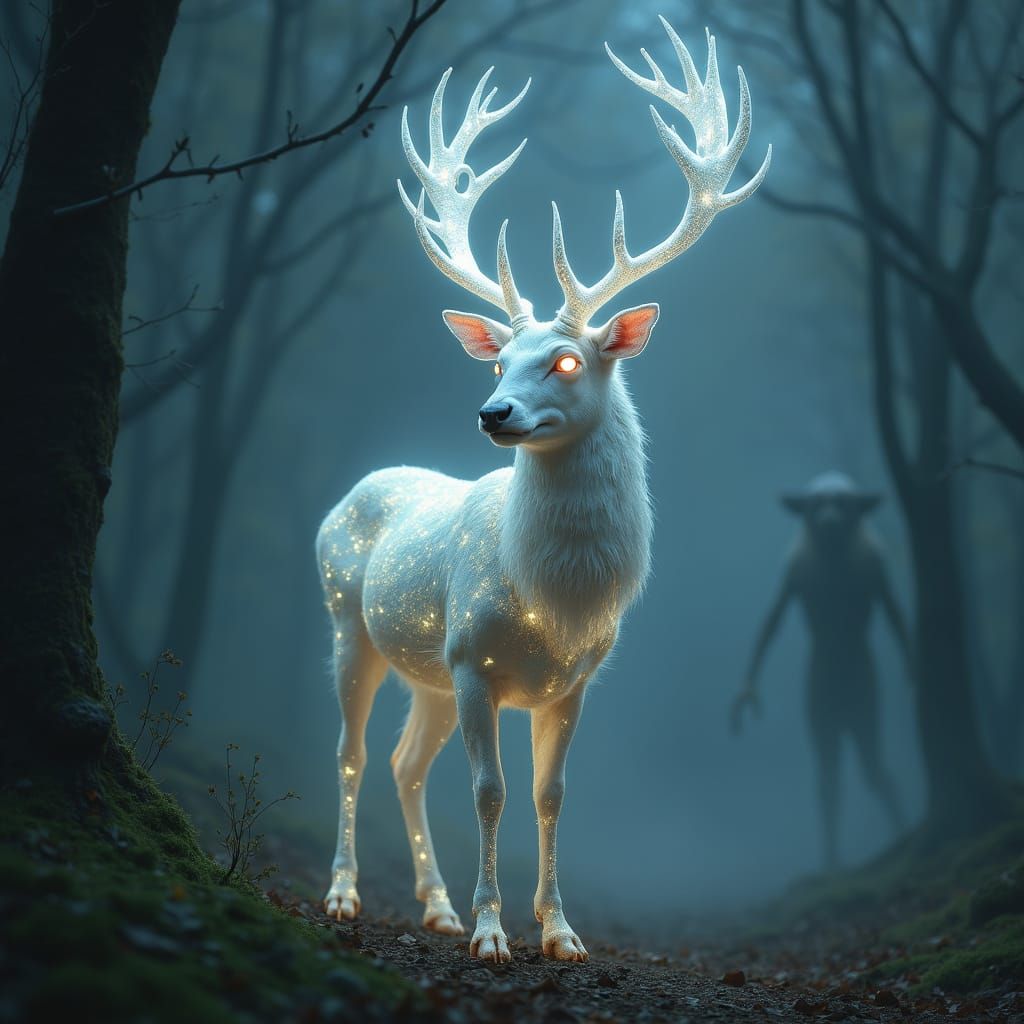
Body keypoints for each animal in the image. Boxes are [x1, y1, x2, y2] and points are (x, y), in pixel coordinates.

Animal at [317, 17, 770, 963]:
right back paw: (344, 893)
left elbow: (549, 794)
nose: (492, 411)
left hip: (425, 670)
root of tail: (360, 485)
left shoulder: (573, 678)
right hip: (351, 622)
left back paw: (435, 906)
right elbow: (488, 792)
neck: (554, 595)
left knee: (405, 762)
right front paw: (494, 933)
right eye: (497, 361)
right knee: (351, 752)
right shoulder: (473, 658)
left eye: (565, 360)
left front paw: (559, 931)